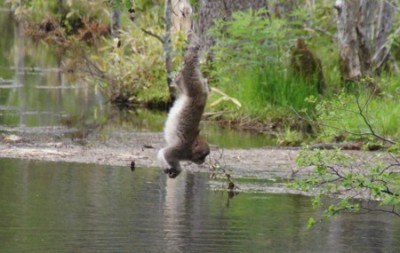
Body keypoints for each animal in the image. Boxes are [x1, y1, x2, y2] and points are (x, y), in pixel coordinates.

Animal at [158, 34, 211, 179]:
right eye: (203, 155)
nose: (203, 161)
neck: (191, 147)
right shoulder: (182, 150)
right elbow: (166, 153)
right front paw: (177, 169)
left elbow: (162, 153)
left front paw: (169, 169)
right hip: (194, 86)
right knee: (189, 69)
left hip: (194, 87)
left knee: (183, 80)